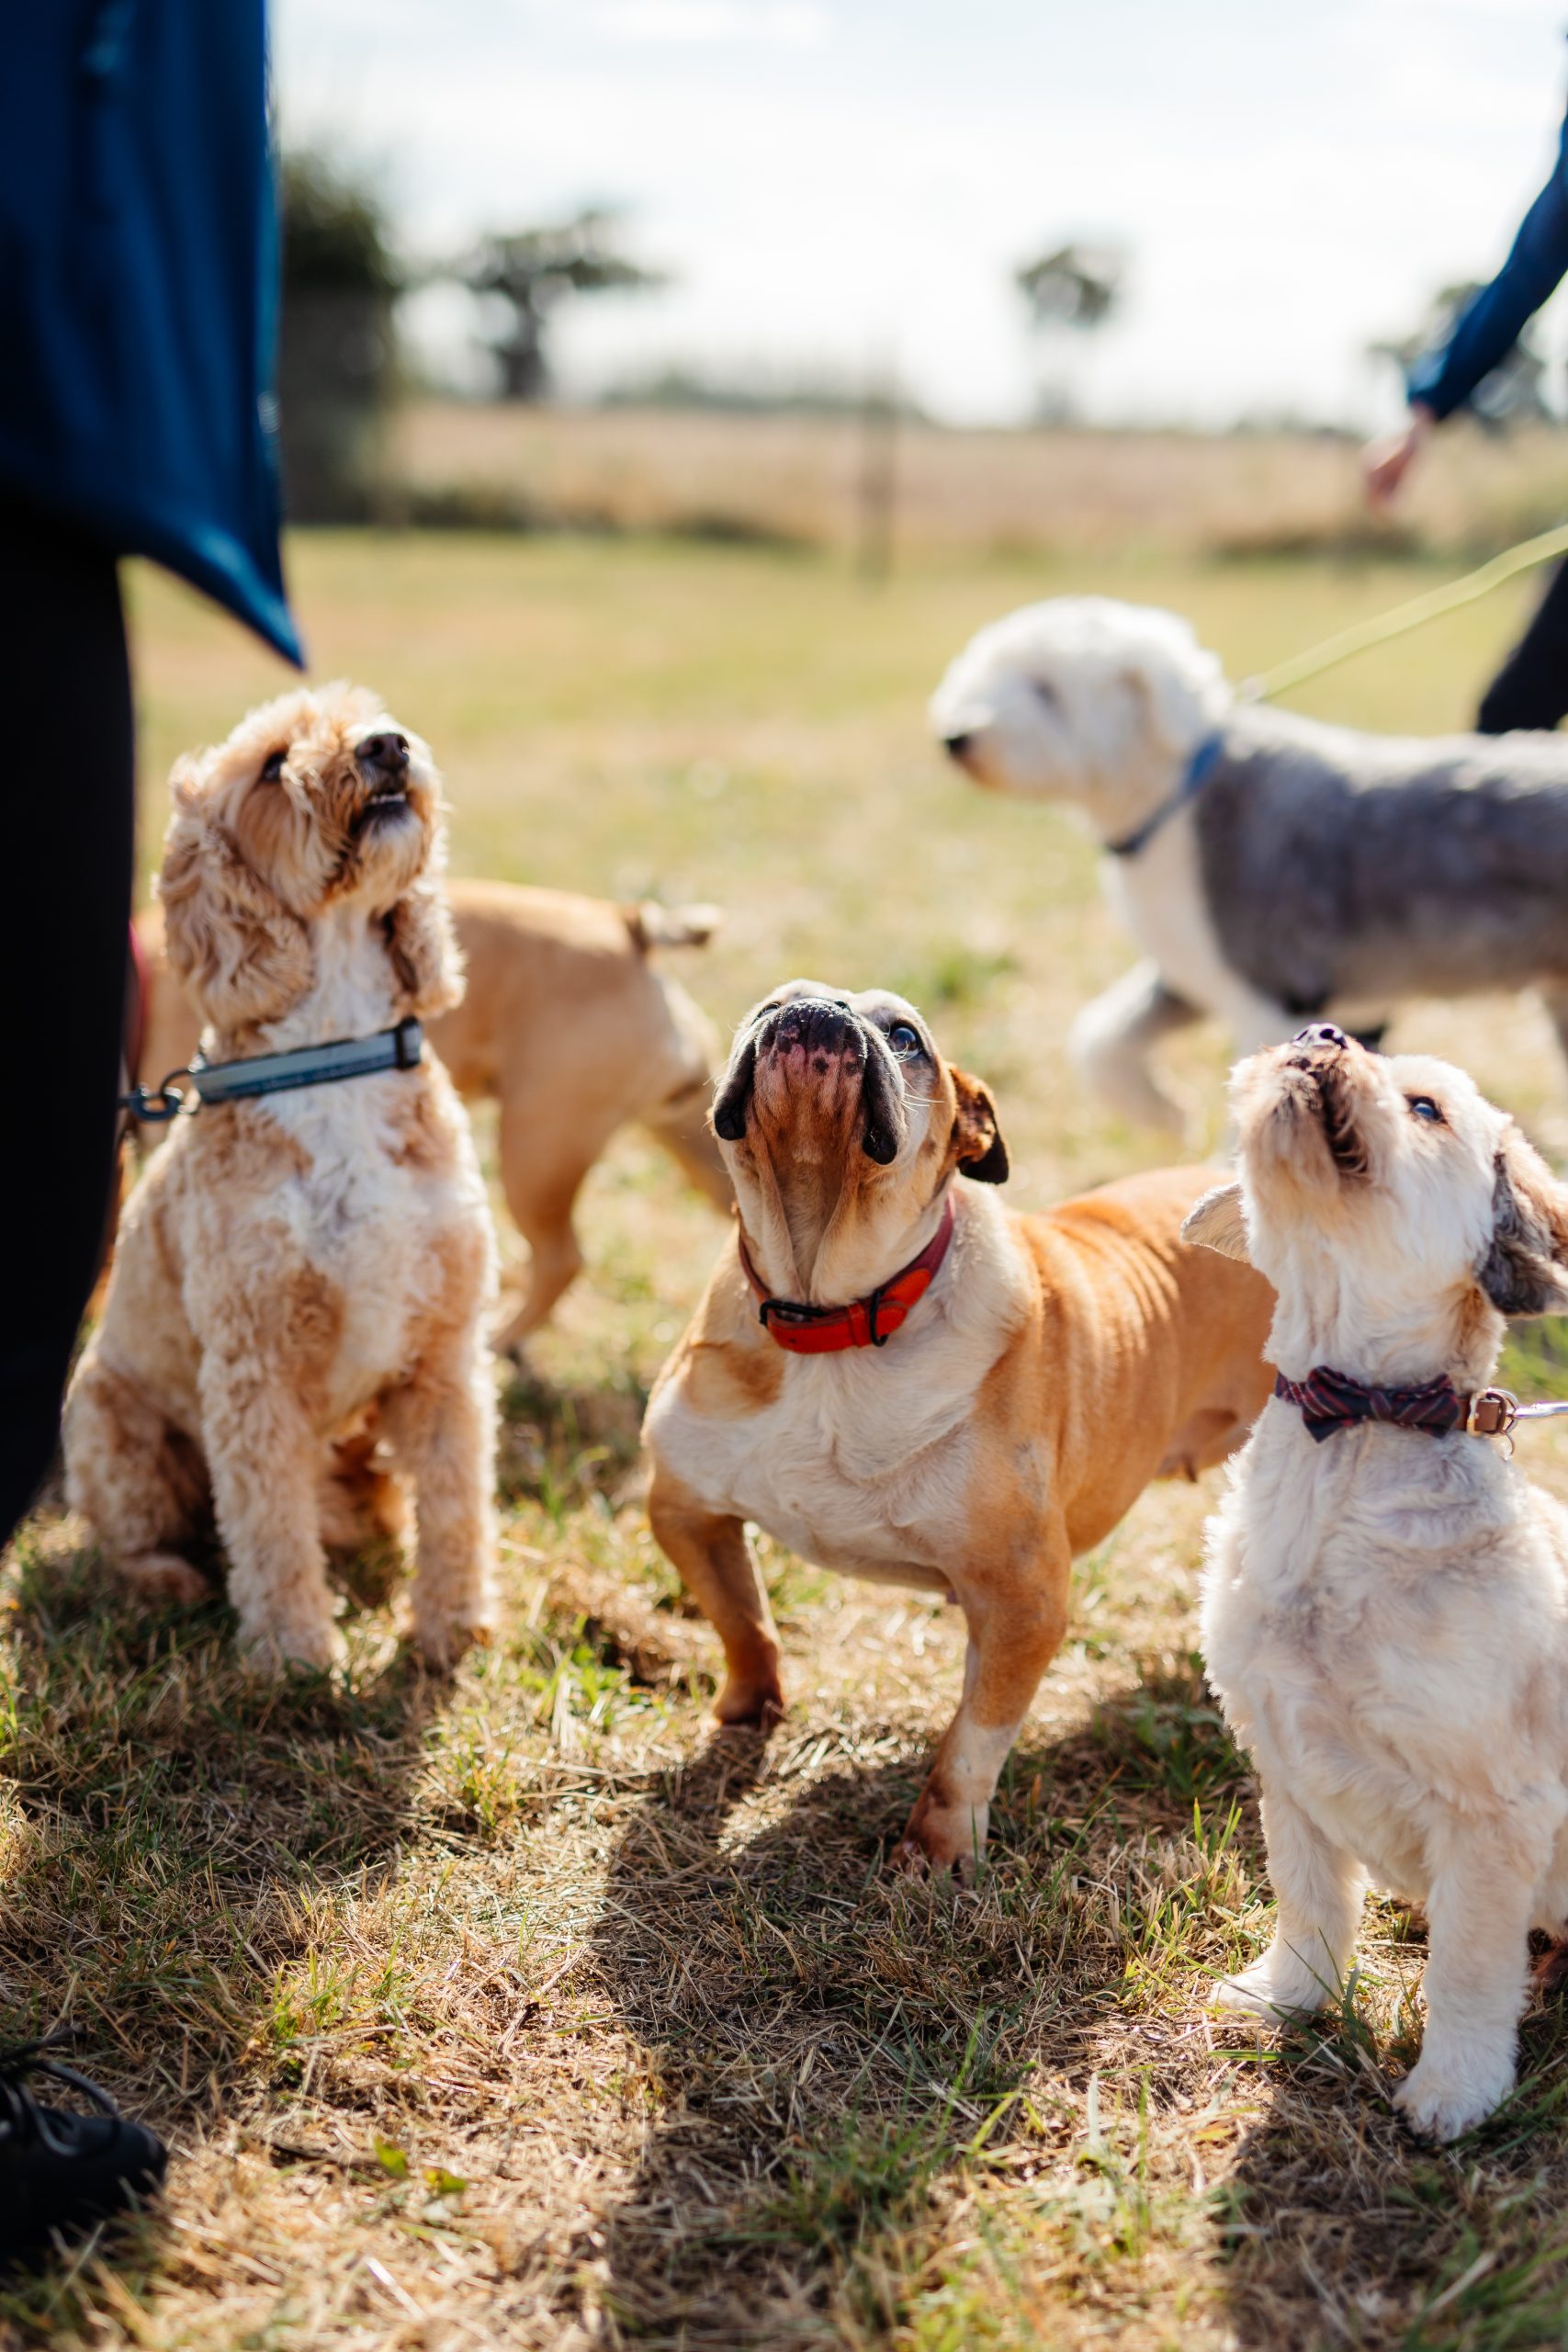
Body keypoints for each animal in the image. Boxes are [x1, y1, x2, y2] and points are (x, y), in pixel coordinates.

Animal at [65, 682, 495, 1674]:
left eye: (374, 714)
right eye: (271, 766)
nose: (387, 747)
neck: (335, 1053)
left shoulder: (445, 1350)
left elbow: (456, 1500)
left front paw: (451, 1630)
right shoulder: (252, 1363)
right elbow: (265, 1521)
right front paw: (293, 1652)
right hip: (108, 1422)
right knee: (135, 1531)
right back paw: (167, 1580)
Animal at [644, 983, 1279, 1862]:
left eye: (906, 1036)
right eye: (769, 1005)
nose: (820, 1007)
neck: (831, 1315)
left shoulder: (1021, 1599)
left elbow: (971, 1743)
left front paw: (937, 1852)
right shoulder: (686, 1511)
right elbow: (743, 1622)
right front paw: (744, 1718)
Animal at [1184, 1021, 1568, 2144]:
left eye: (1427, 1106)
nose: (1323, 1031)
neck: (1351, 1427)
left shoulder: (1496, 1814)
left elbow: (1468, 1972)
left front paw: (1456, 2088)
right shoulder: (1284, 1759)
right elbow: (1311, 1902)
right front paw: (1288, 1998)